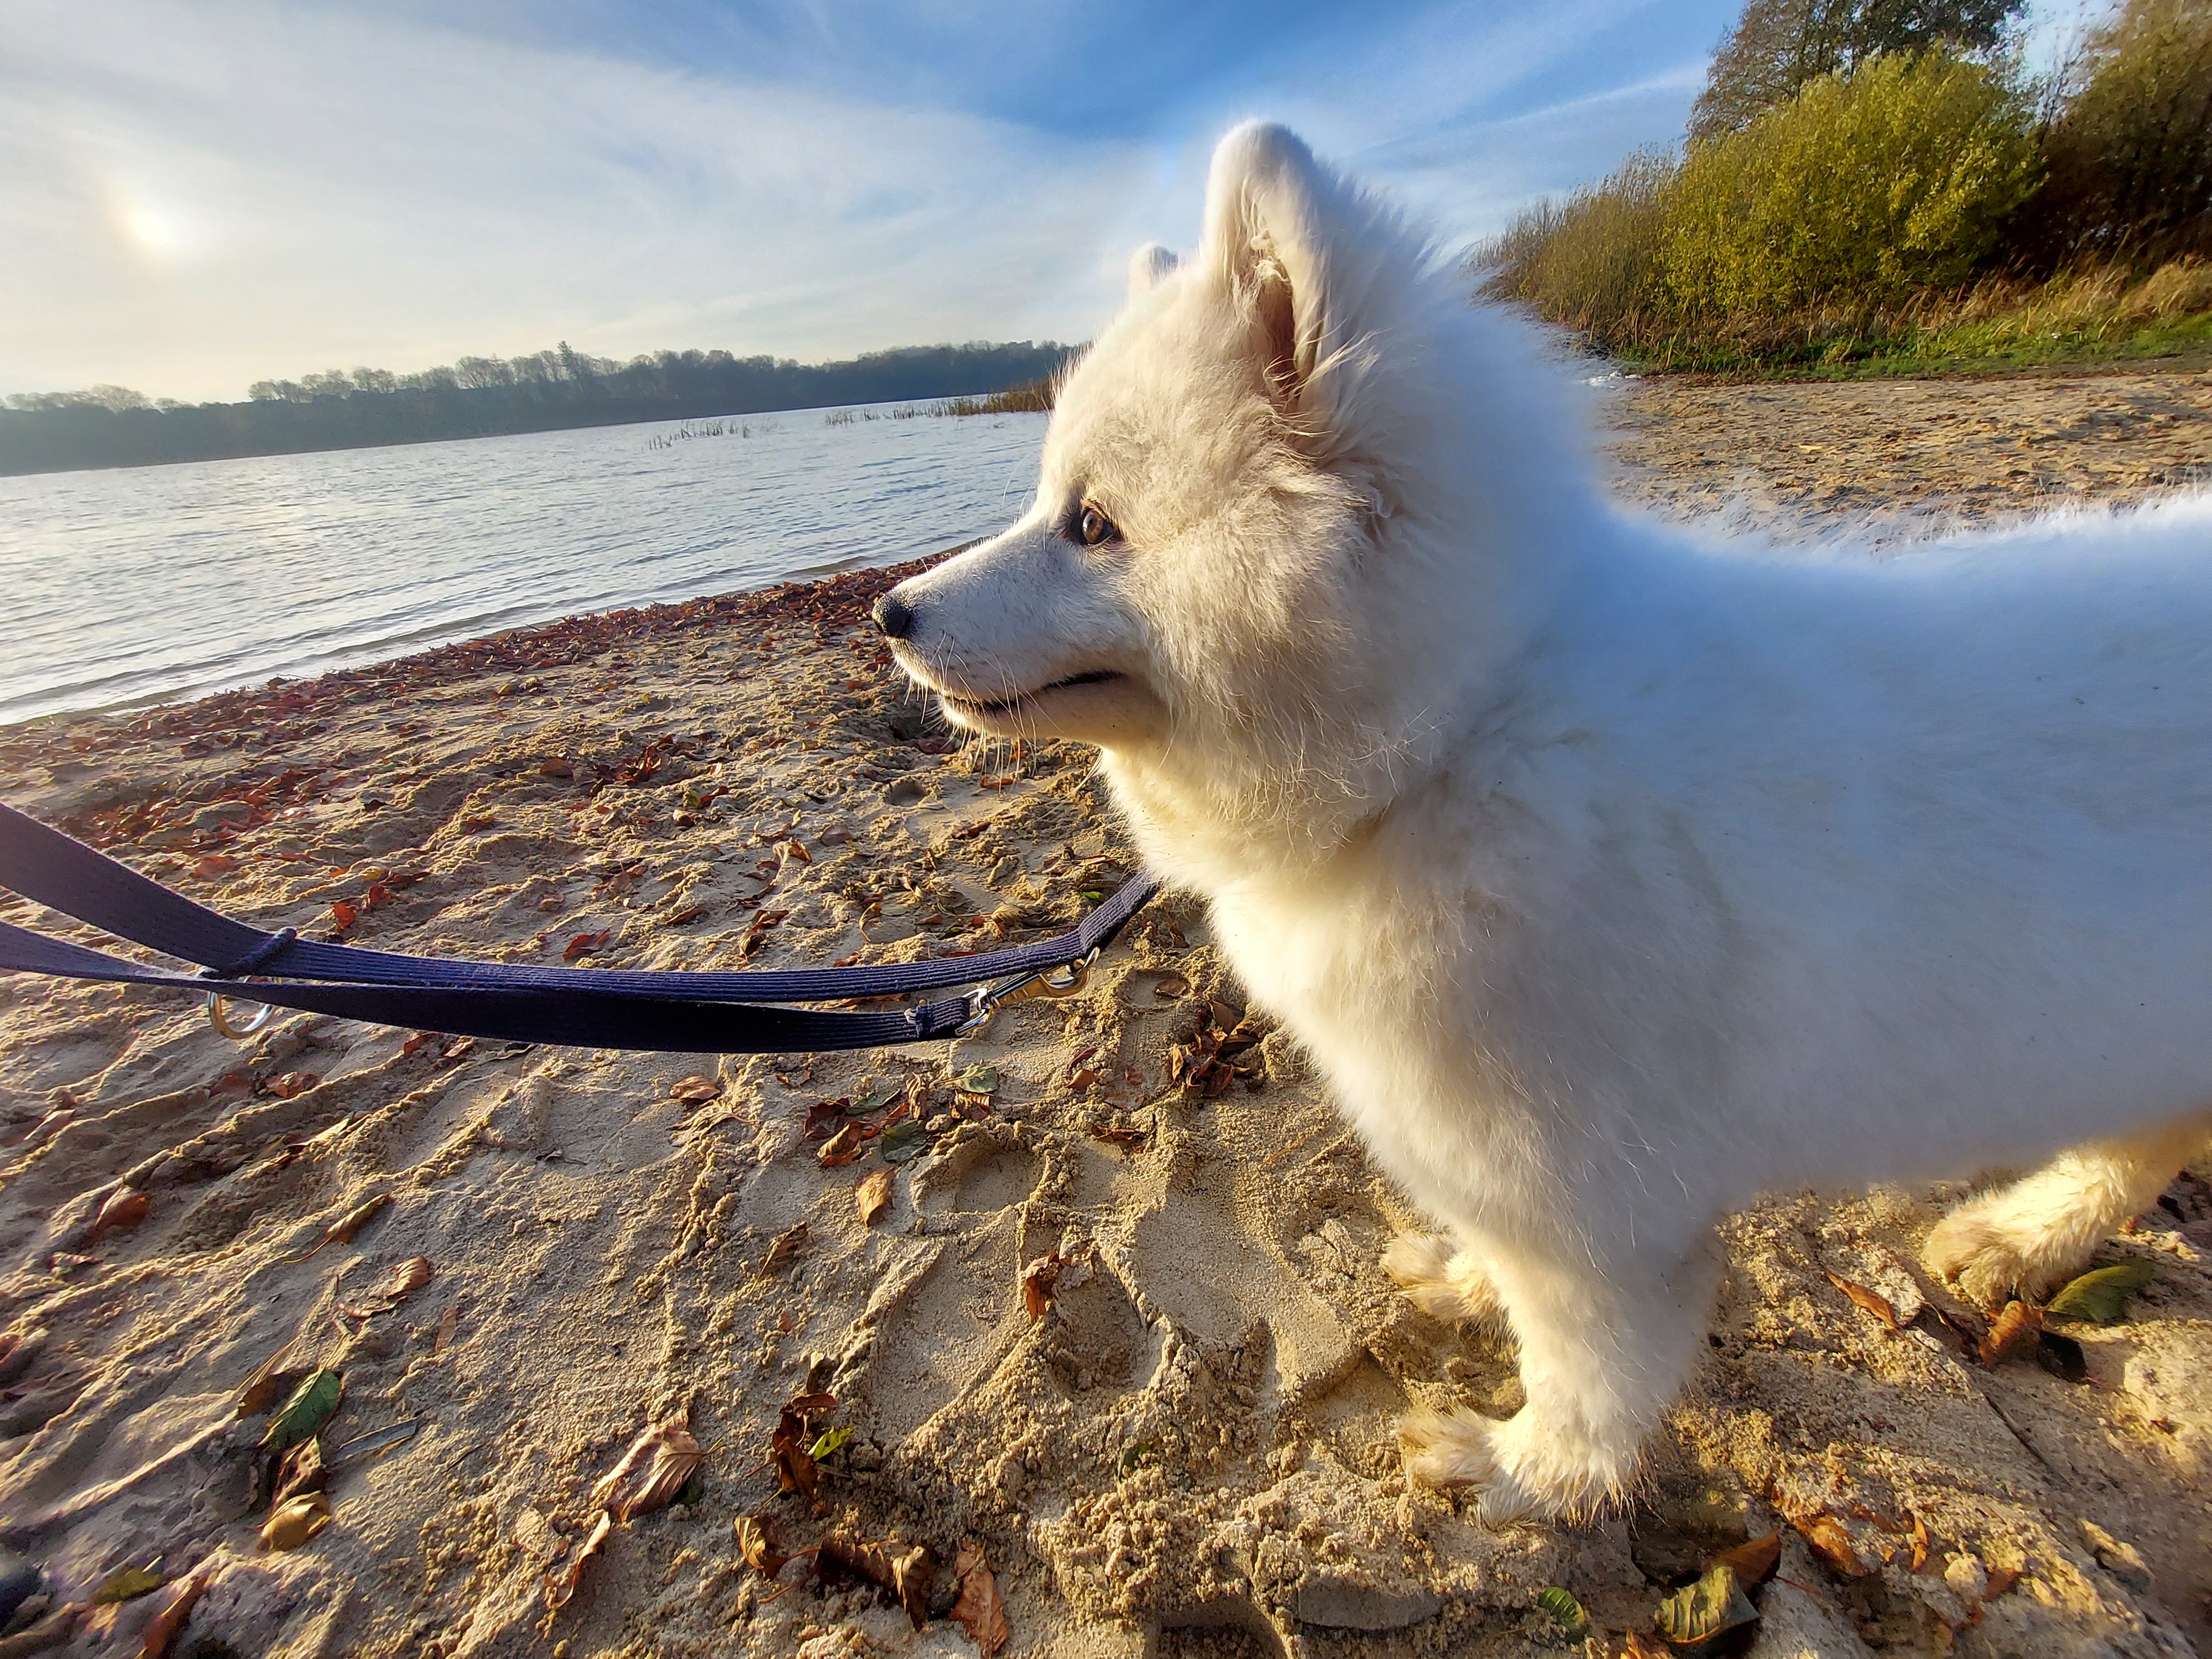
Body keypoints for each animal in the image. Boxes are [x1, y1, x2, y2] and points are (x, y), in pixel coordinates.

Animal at [876, 123, 2212, 1531]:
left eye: (1093, 525)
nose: (886, 612)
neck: (1461, 733)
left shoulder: (1593, 1209)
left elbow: (1589, 1368)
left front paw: (1527, 1474)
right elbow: (1503, 1277)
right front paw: (1469, 1288)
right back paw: (2026, 1231)